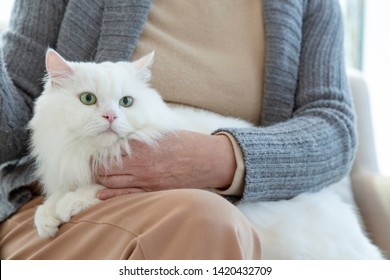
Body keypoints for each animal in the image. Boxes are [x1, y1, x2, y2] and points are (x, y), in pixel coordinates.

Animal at [28, 49, 384, 260]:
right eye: (88, 99)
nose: (111, 117)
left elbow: (93, 189)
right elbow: (57, 195)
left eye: (126, 102)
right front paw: (46, 217)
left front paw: (67, 206)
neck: (93, 152)